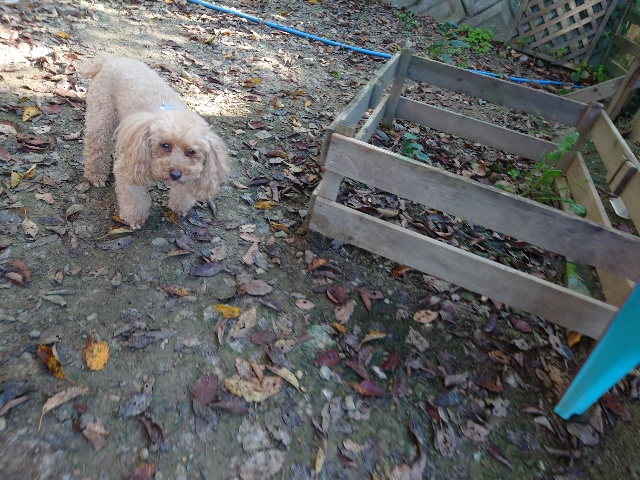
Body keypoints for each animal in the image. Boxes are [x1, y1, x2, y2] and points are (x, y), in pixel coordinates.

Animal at [80, 54, 229, 229]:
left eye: (191, 152)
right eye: (165, 145)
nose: (175, 174)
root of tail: (110, 59)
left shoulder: (193, 173)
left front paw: (179, 206)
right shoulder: (131, 166)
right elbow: (134, 197)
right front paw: (134, 218)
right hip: (102, 113)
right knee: (97, 144)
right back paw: (95, 175)